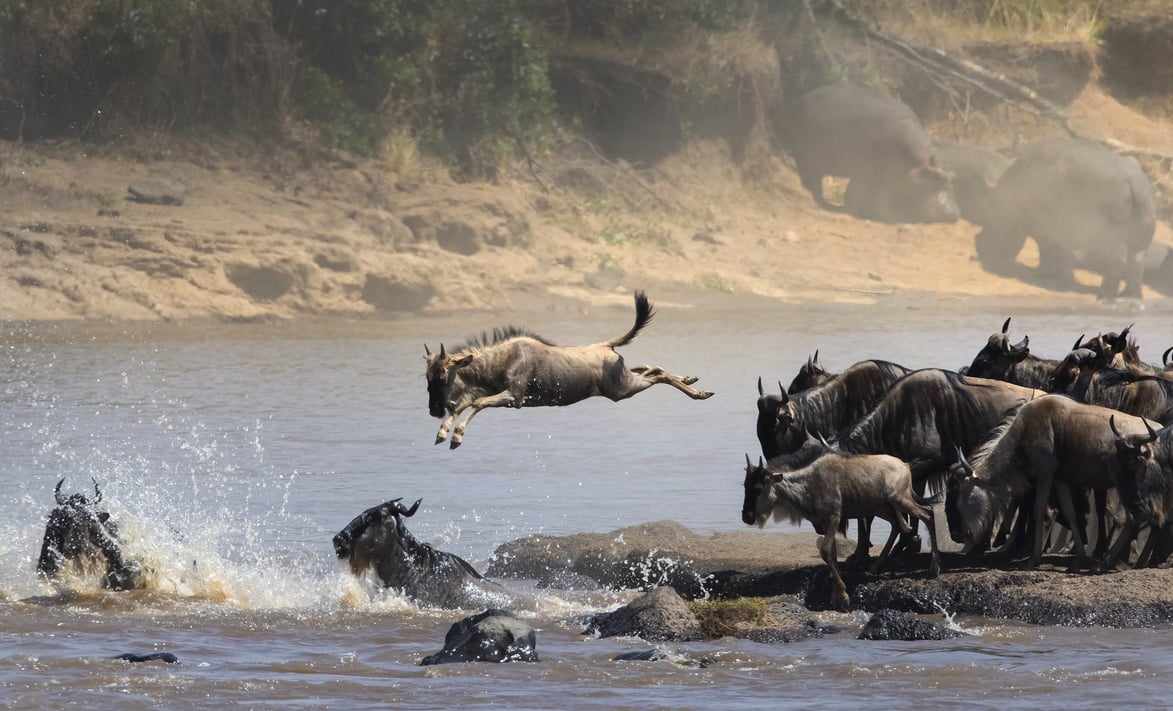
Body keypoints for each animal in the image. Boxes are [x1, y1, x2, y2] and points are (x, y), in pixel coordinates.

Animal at [426, 289, 708, 445]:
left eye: (442, 375)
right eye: (427, 378)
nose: (434, 409)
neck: (502, 359)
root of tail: (606, 345)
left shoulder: (514, 398)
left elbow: (475, 404)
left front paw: (456, 436)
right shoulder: (487, 391)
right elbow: (464, 405)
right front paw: (443, 434)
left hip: (622, 389)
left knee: (657, 373)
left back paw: (700, 393)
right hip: (625, 380)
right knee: (650, 366)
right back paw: (692, 380)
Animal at [741, 455, 943, 610]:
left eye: (758, 488)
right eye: (745, 485)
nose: (746, 517)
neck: (807, 485)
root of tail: (905, 466)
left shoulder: (834, 517)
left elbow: (825, 551)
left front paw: (843, 596)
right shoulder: (826, 523)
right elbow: (831, 553)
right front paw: (836, 594)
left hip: (899, 500)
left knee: (927, 514)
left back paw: (934, 566)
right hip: (881, 506)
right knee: (899, 525)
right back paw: (877, 566)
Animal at [778, 82, 961, 225]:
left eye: (952, 177)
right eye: (935, 176)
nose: (954, 214)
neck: (917, 161)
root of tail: (801, 100)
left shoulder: (887, 176)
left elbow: (863, 193)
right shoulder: (871, 174)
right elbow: (868, 196)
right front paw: (888, 218)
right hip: (808, 157)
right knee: (811, 180)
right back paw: (819, 200)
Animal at [971, 137, 1154, 300]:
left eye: (991, 216)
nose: (977, 243)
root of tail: (1135, 182)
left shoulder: (1046, 230)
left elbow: (1047, 250)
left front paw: (1045, 274)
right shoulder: (1061, 232)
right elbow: (1062, 254)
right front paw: (1060, 276)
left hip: (1108, 238)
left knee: (1118, 262)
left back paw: (1104, 296)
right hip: (1140, 236)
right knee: (1136, 263)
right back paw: (1131, 297)